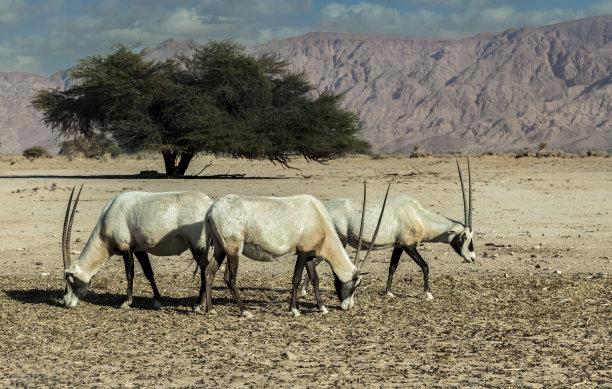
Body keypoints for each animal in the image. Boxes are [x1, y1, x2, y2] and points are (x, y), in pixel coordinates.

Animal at [60, 186, 213, 308]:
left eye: (69, 279)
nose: (67, 302)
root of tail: (209, 203)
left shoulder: (126, 249)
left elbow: (129, 274)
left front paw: (127, 302)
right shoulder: (139, 250)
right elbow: (149, 273)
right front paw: (157, 300)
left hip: (196, 245)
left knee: (205, 268)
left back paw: (199, 304)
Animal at [198, 192, 384, 316]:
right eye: (356, 284)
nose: (348, 306)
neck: (319, 218)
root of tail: (211, 210)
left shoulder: (309, 255)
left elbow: (315, 279)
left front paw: (322, 307)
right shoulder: (302, 252)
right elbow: (296, 279)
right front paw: (294, 310)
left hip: (220, 249)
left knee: (209, 272)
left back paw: (211, 309)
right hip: (233, 249)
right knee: (230, 278)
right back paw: (244, 311)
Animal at [304, 158, 476, 300]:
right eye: (464, 237)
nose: (473, 258)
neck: (419, 217)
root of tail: (325, 208)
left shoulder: (398, 246)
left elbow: (392, 267)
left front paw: (388, 292)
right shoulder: (409, 246)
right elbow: (425, 266)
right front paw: (428, 294)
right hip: (339, 240)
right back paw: (304, 291)